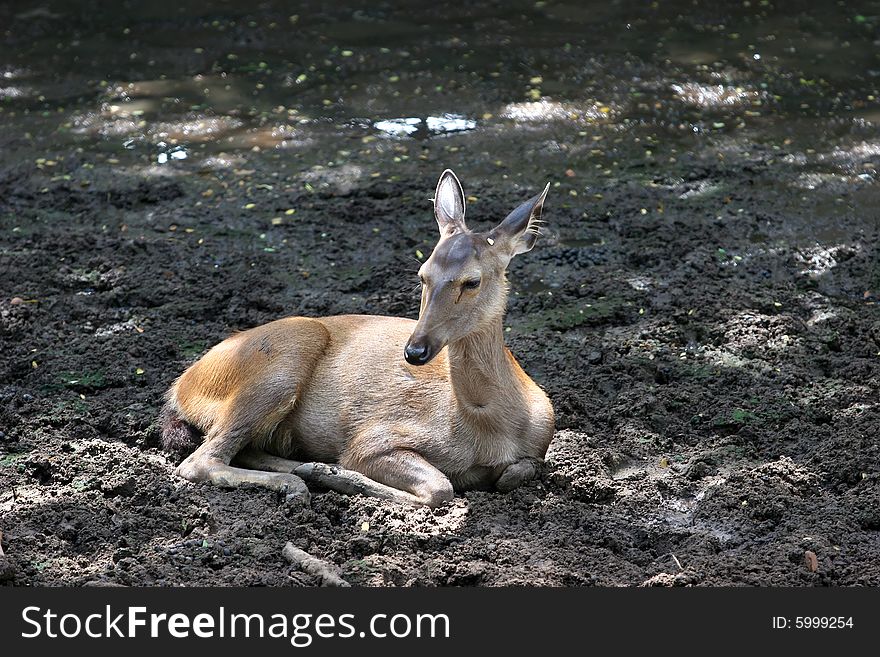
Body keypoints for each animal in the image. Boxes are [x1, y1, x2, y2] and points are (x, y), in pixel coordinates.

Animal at [162, 170, 552, 508]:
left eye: (472, 281)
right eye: (422, 274)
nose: (415, 350)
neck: (489, 426)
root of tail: (181, 387)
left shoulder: (541, 442)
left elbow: (520, 470)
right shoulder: (375, 437)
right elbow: (441, 488)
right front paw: (338, 474)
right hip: (284, 356)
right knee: (199, 461)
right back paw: (300, 480)